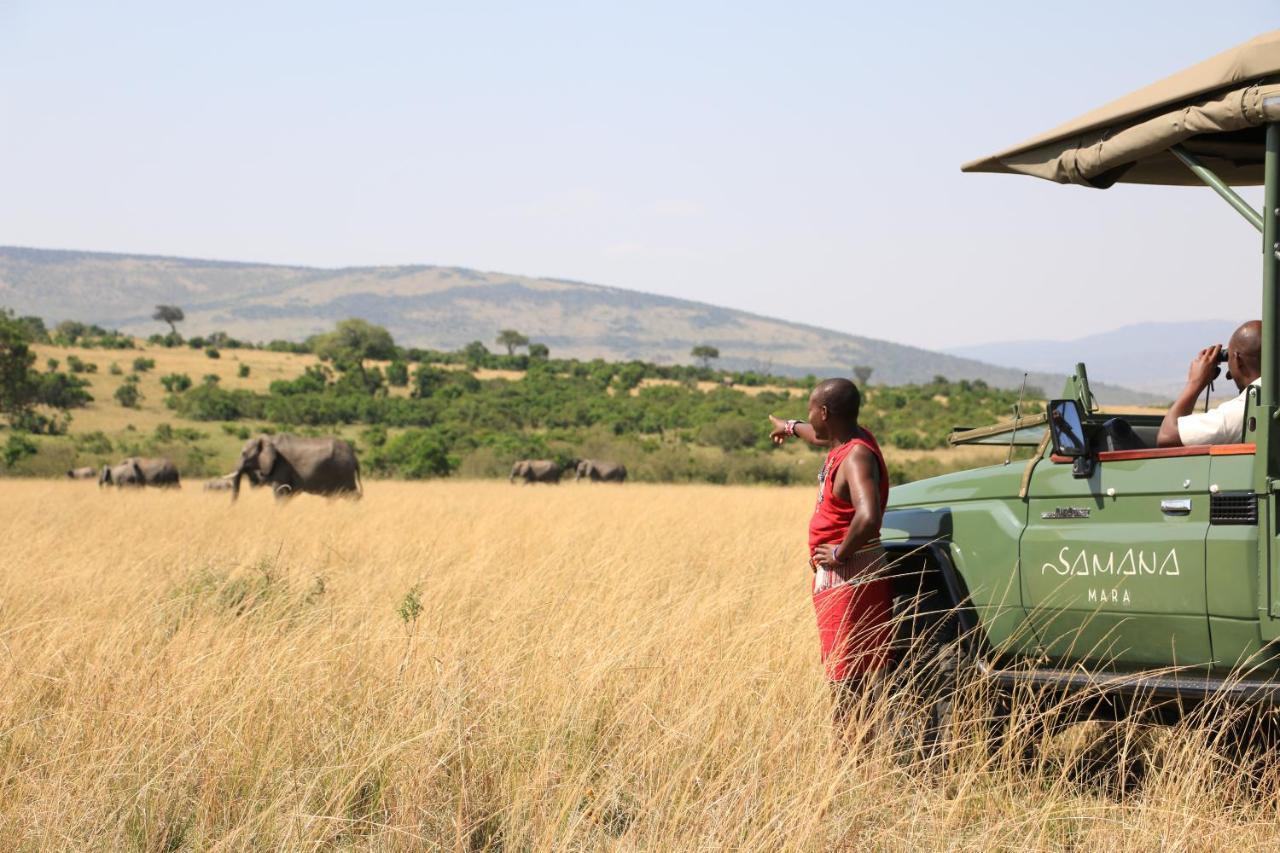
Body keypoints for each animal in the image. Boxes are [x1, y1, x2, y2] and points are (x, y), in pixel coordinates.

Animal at [232, 432, 363, 499]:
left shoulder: (281, 465)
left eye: (243, 454)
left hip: (343, 471)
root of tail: (354, 456)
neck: (268, 438)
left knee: (352, 494)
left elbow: (280, 492)